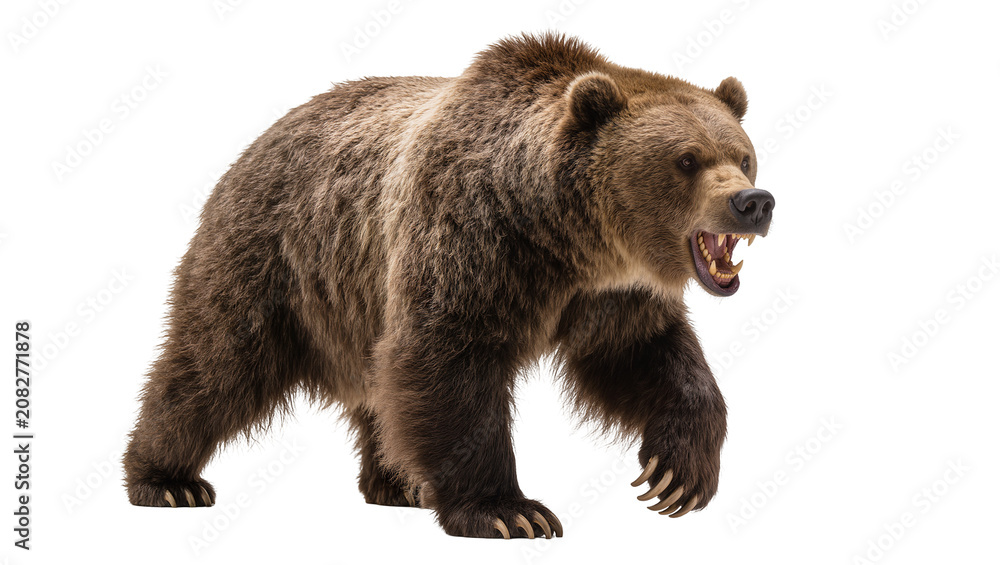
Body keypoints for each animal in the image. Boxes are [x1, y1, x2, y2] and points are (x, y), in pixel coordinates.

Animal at [123, 33, 774, 539]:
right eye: (686, 160)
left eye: (742, 155)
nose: (752, 202)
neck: (561, 236)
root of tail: (259, 138)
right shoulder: (472, 240)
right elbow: (448, 362)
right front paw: (510, 511)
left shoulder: (611, 295)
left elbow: (646, 357)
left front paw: (676, 475)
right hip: (276, 256)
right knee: (216, 363)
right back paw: (166, 479)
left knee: (376, 390)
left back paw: (398, 482)